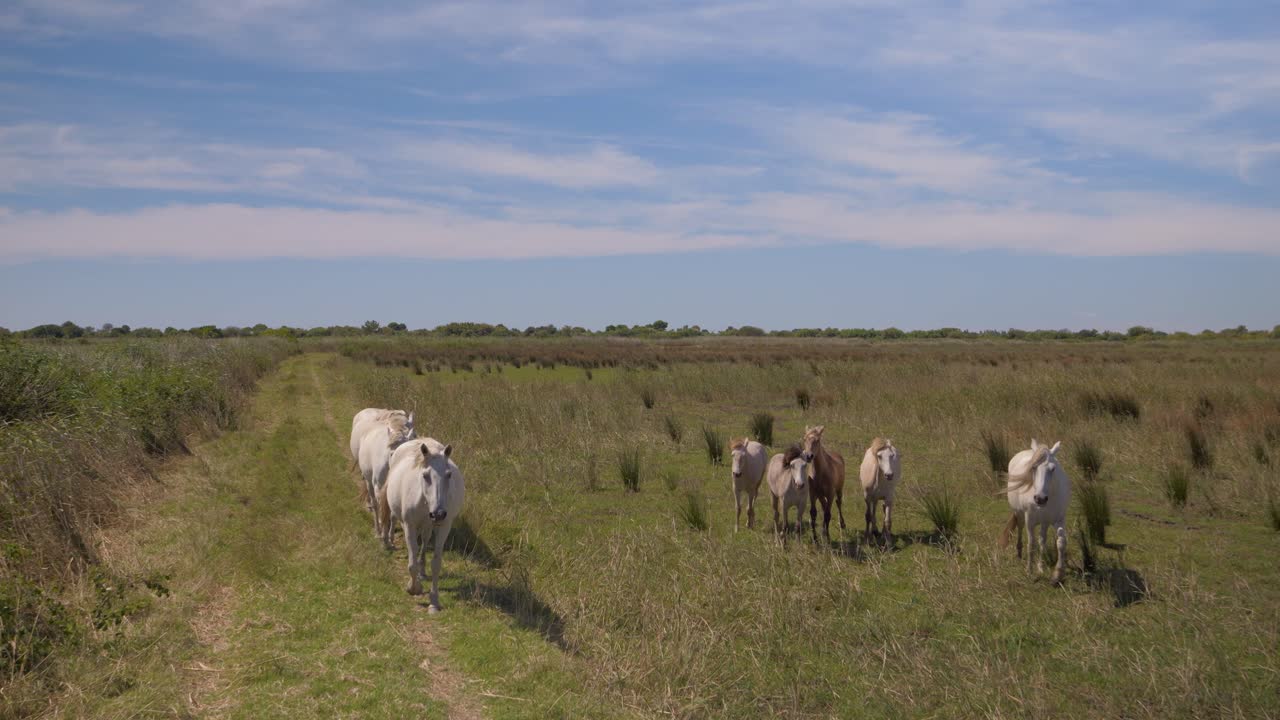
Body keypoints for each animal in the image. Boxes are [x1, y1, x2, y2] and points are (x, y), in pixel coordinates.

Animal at [380, 438, 465, 613]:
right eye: (425, 475)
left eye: (449, 475)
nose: (439, 513)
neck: (425, 500)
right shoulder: (409, 526)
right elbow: (412, 561)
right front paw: (414, 588)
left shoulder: (444, 527)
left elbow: (436, 564)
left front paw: (434, 601)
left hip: (428, 526)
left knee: (424, 543)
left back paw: (423, 571)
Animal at [999, 439, 1071, 585]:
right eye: (1033, 467)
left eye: (1053, 469)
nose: (1040, 498)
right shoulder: (1030, 520)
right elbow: (1031, 544)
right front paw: (1029, 571)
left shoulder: (1059, 519)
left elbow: (1061, 542)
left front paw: (1057, 575)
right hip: (1020, 514)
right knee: (1020, 529)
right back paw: (1019, 553)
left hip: (1044, 522)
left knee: (1042, 541)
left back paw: (1041, 567)